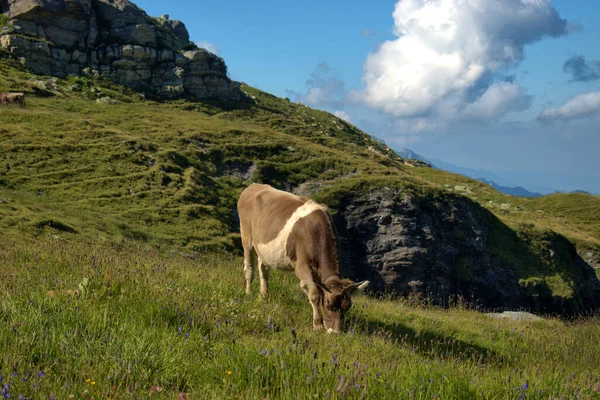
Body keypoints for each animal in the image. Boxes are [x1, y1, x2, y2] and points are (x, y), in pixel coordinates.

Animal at [237, 184, 368, 334]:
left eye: (348, 306)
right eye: (328, 304)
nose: (336, 332)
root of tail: (253, 186)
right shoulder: (301, 265)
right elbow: (314, 293)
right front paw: (317, 325)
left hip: (263, 248)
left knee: (263, 269)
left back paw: (264, 296)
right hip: (247, 238)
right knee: (249, 269)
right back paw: (248, 294)